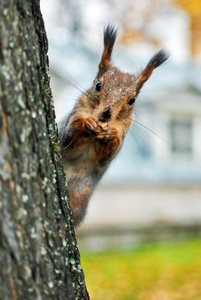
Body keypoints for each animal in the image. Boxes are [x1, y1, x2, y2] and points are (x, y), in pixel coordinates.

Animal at [58, 25, 170, 227]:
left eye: (132, 100)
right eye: (98, 85)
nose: (106, 114)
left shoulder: (123, 131)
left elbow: (104, 156)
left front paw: (110, 134)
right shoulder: (71, 121)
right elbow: (69, 135)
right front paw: (87, 123)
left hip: (80, 191)